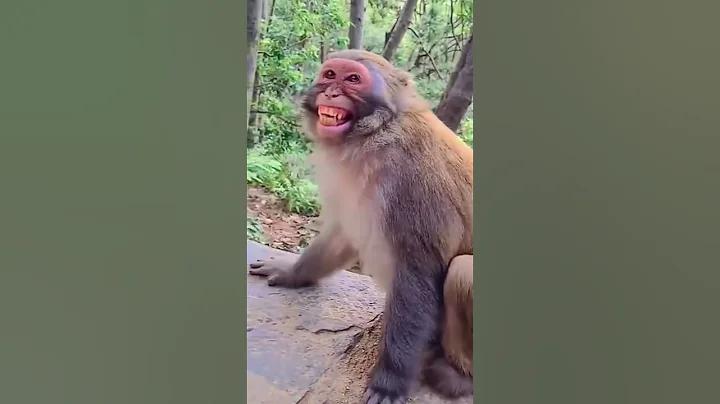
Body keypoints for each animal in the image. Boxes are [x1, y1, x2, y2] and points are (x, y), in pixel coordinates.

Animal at [248, 50, 473, 403]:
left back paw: (458, 378)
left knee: (463, 270)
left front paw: (390, 381)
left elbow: (418, 271)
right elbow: (343, 236)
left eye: (352, 79)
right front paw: (291, 272)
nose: (330, 92)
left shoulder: (411, 181)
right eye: (329, 75)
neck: (375, 136)